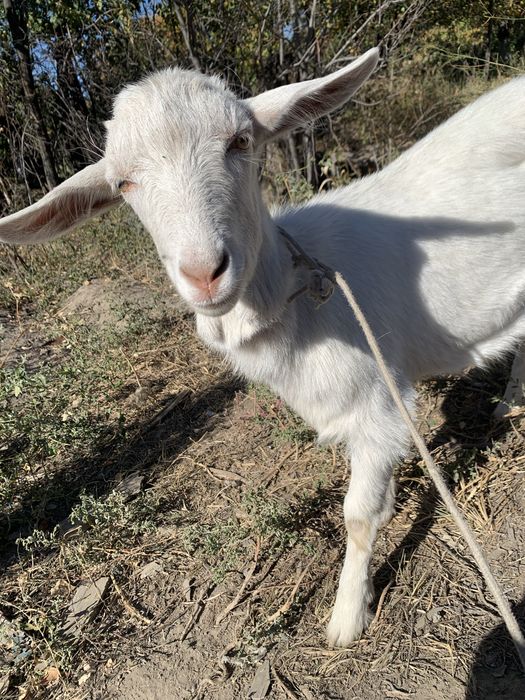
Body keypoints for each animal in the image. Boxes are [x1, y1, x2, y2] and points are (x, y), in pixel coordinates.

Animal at [1, 48, 524, 647]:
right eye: (122, 183)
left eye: (240, 140)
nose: (205, 273)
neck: (300, 299)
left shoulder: (378, 400)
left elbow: (357, 516)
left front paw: (347, 619)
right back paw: (509, 404)